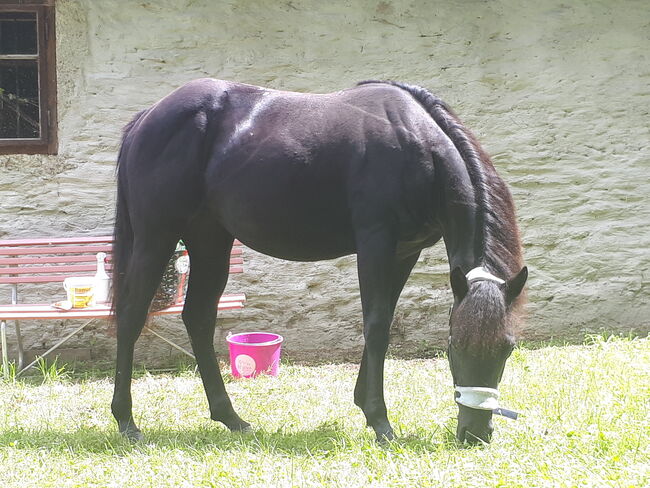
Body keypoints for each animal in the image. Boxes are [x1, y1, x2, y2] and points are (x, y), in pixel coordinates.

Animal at [112, 79, 528, 446]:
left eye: (508, 347)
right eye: (453, 345)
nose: (475, 433)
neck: (416, 143)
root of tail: (148, 116)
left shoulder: (405, 251)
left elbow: (383, 321)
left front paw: (365, 405)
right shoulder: (375, 242)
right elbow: (376, 326)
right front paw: (380, 421)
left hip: (210, 240)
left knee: (198, 317)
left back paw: (230, 417)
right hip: (156, 238)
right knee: (131, 315)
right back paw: (127, 421)